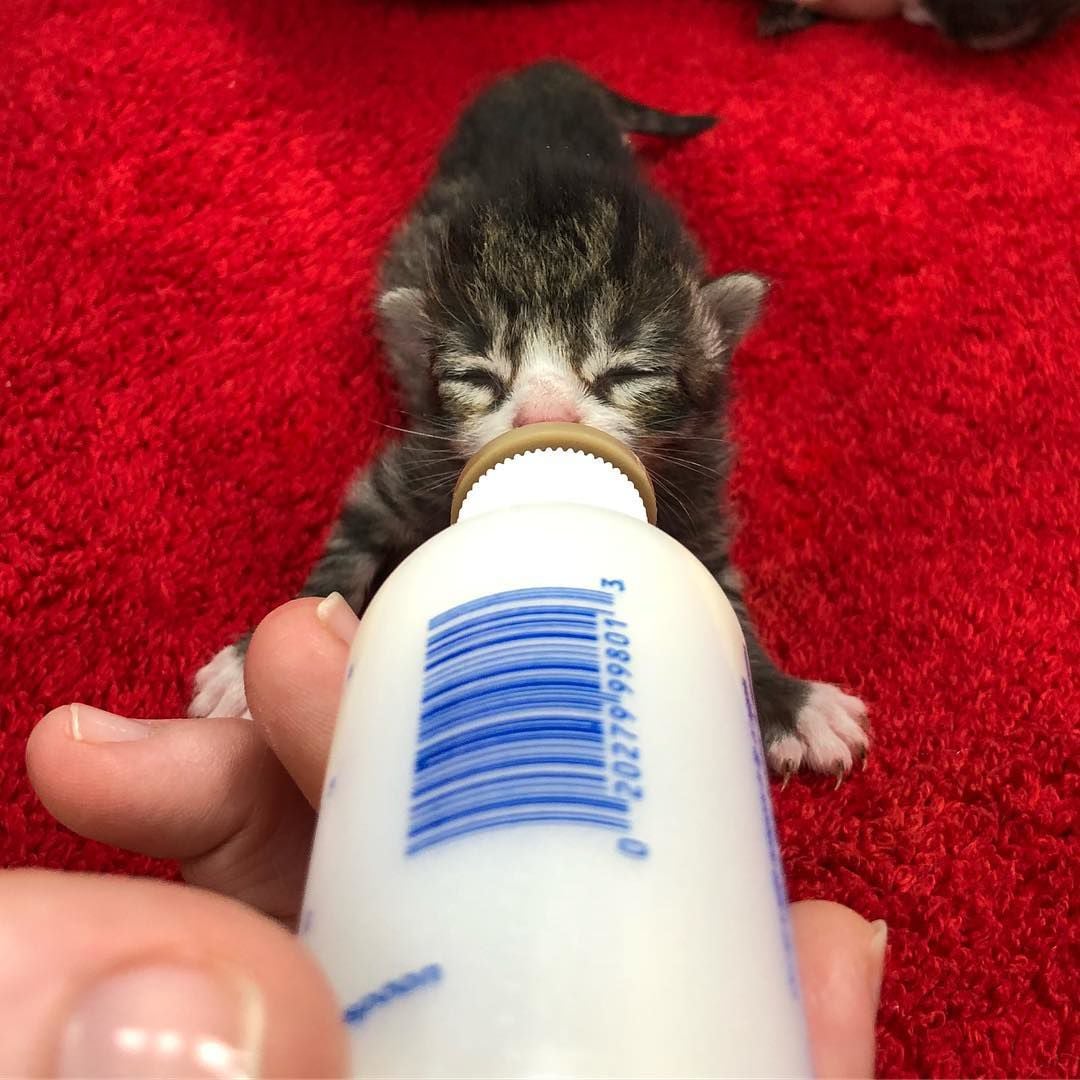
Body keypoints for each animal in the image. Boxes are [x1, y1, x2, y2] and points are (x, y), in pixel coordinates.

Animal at [191, 60, 869, 781]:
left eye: (624, 373)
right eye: (480, 378)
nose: (545, 417)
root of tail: (546, 68)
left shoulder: (695, 492)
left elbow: (727, 605)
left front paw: (789, 701)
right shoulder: (409, 467)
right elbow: (345, 549)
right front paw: (250, 662)